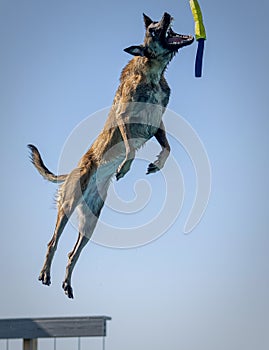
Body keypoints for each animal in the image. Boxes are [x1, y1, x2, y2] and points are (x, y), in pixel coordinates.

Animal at [28, 13, 193, 298]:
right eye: (153, 29)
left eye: (158, 24)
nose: (166, 14)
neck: (152, 73)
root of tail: (73, 170)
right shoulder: (124, 117)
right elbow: (129, 148)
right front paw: (124, 167)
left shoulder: (157, 124)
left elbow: (168, 148)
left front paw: (157, 164)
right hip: (68, 205)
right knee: (52, 243)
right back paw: (45, 273)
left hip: (90, 222)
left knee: (73, 253)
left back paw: (67, 283)